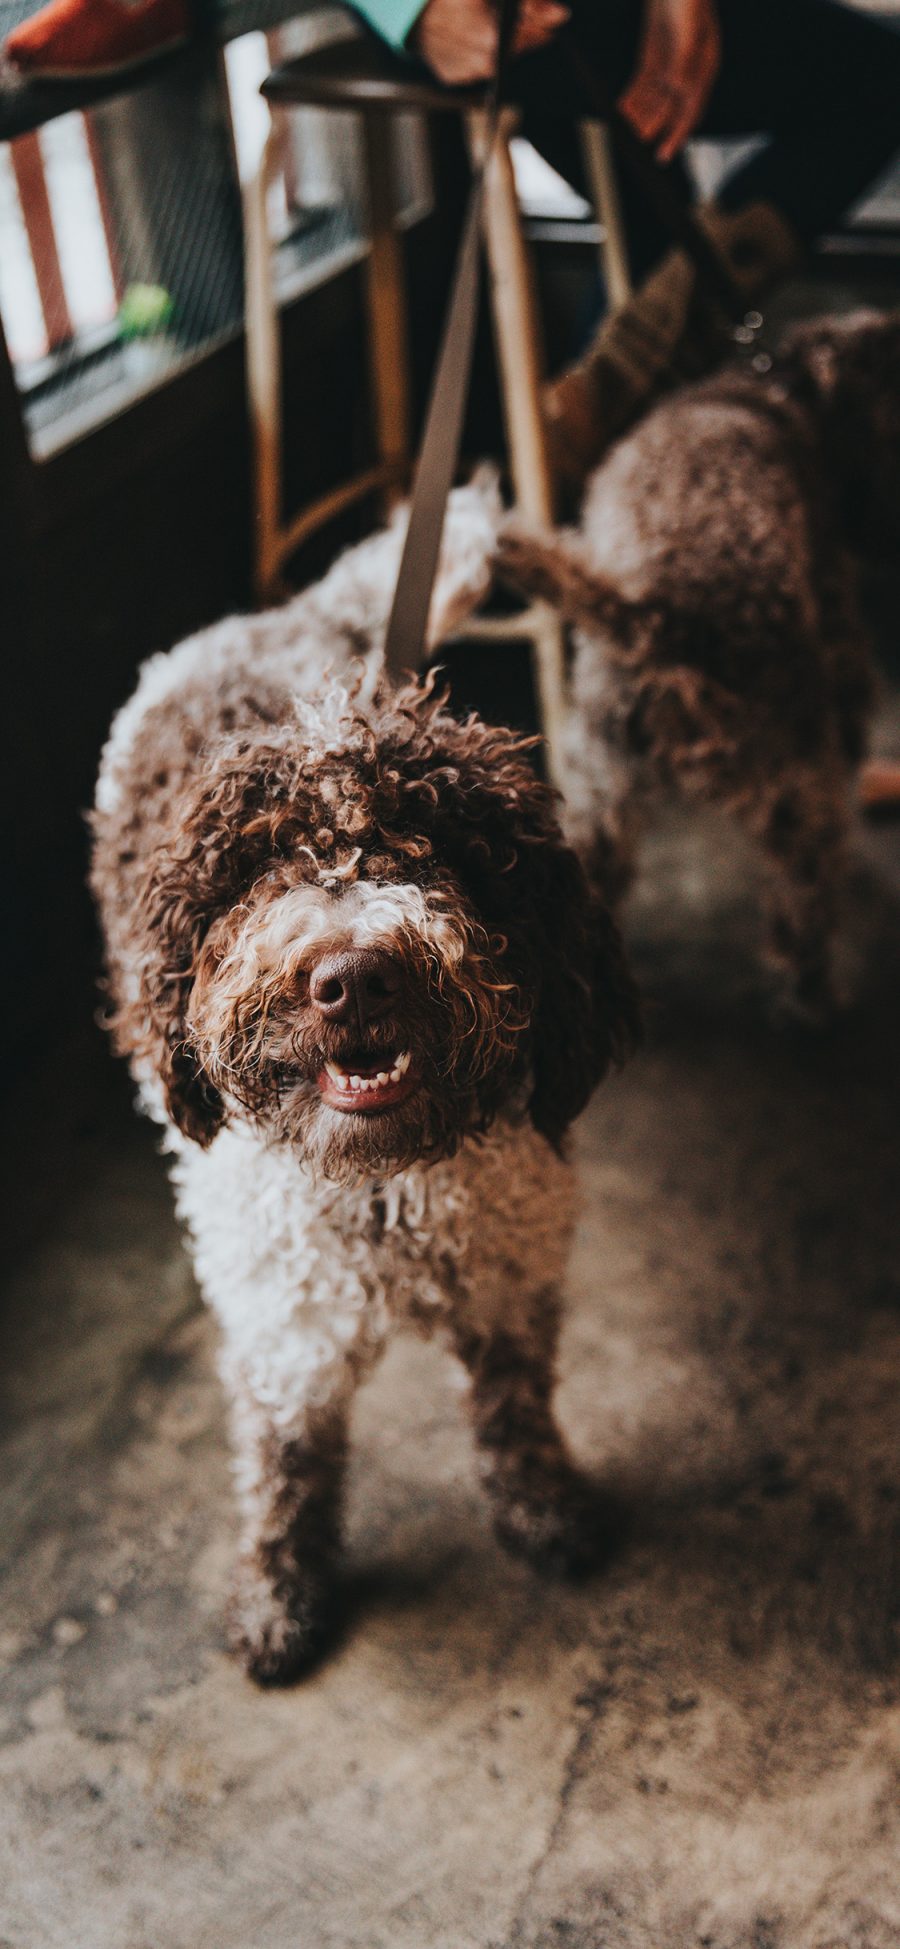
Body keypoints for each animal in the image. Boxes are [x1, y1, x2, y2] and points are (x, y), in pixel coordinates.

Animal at [89, 479, 638, 1683]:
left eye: (443, 848)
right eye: (262, 862)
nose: (352, 979)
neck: (384, 1187)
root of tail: (285, 619)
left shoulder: (512, 1268)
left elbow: (516, 1404)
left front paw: (543, 1508)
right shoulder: (280, 1324)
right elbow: (286, 1461)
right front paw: (279, 1591)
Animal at [494, 311, 900, 1021]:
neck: (781, 388)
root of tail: (658, 619)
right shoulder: (839, 620)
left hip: (598, 785)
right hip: (801, 784)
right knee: (803, 898)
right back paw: (816, 991)